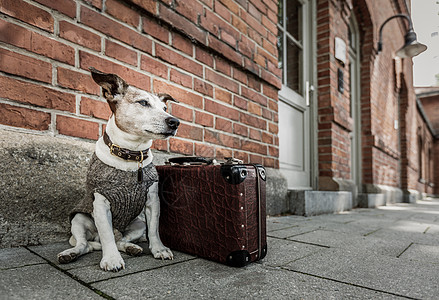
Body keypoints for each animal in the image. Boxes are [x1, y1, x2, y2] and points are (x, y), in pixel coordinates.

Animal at [57, 68, 180, 272]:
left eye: (164, 108)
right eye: (143, 103)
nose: (175, 122)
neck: (131, 154)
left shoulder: (152, 201)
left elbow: (154, 229)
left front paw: (159, 250)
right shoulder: (100, 203)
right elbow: (107, 235)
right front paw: (112, 259)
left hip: (138, 224)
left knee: (120, 240)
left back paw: (131, 248)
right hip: (79, 220)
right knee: (86, 244)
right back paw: (71, 254)